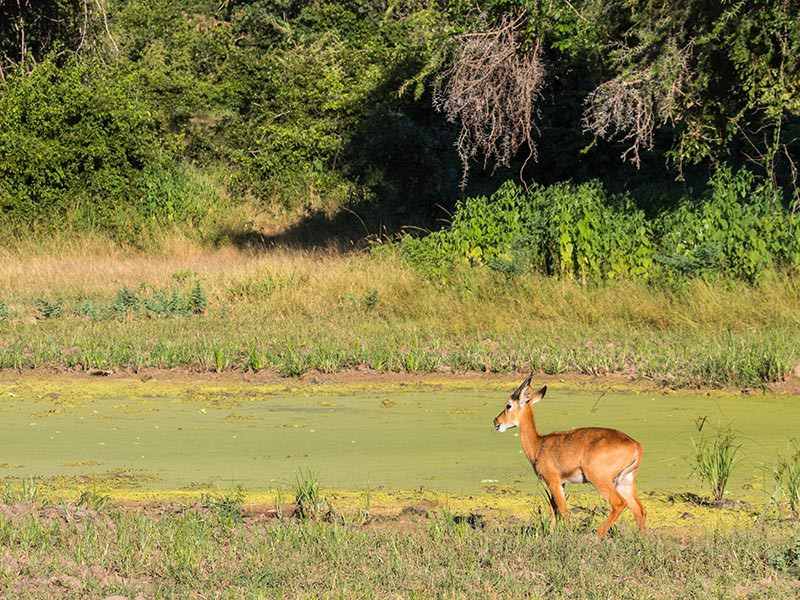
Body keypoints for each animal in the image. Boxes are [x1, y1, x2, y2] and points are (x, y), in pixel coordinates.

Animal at [490, 372, 648, 536]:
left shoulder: (553, 481)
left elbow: (563, 511)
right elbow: (553, 510)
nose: (496, 421)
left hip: (600, 479)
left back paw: (597, 535)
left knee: (619, 503)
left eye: (508, 405)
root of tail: (635, 445)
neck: (538, 444)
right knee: (640, 510)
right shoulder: (561, 483)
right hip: (624, 481)